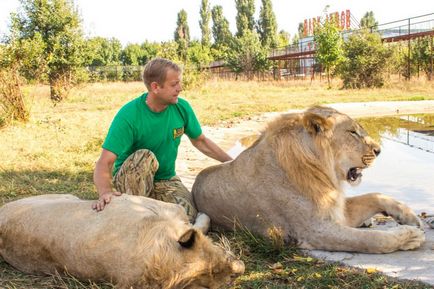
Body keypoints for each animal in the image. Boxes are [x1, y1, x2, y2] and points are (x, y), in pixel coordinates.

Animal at [192, 106, 424, 252]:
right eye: (352, 132)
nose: (378, 151)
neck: (319, 169)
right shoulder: (314, 230)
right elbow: (373, 240)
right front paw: (410, 236)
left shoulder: (336, 210)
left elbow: (375, 195)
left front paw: (409, 216)